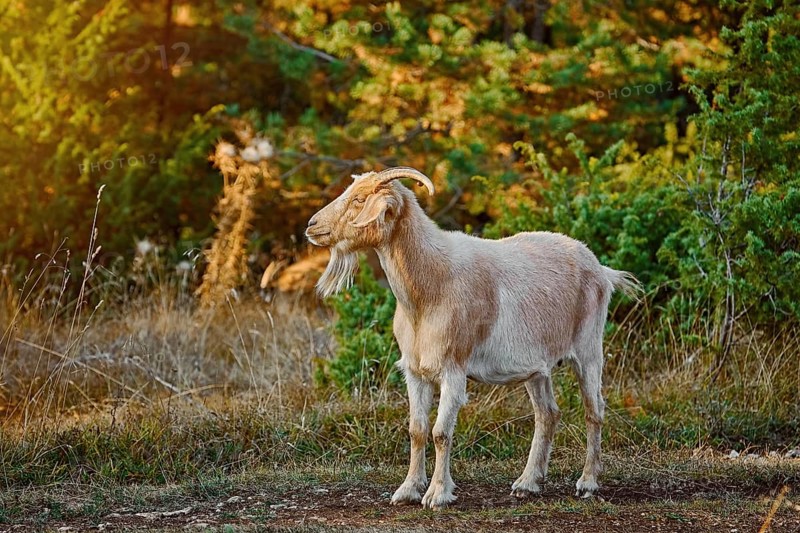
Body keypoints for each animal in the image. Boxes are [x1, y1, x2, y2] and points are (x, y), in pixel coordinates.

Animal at [305, 167, 641, 509]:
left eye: (360, 200)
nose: (312, 226)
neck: (429, 288)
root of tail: (602, 270)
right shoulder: (415, 370)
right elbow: (416, 430)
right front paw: (408, 490)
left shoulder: (453, 368)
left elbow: (441, 433)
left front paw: (437, 494)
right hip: (538, 368)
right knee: (547, 414)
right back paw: (527, 483)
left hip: (588, 350)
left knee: (593, 410)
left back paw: (587, 483)